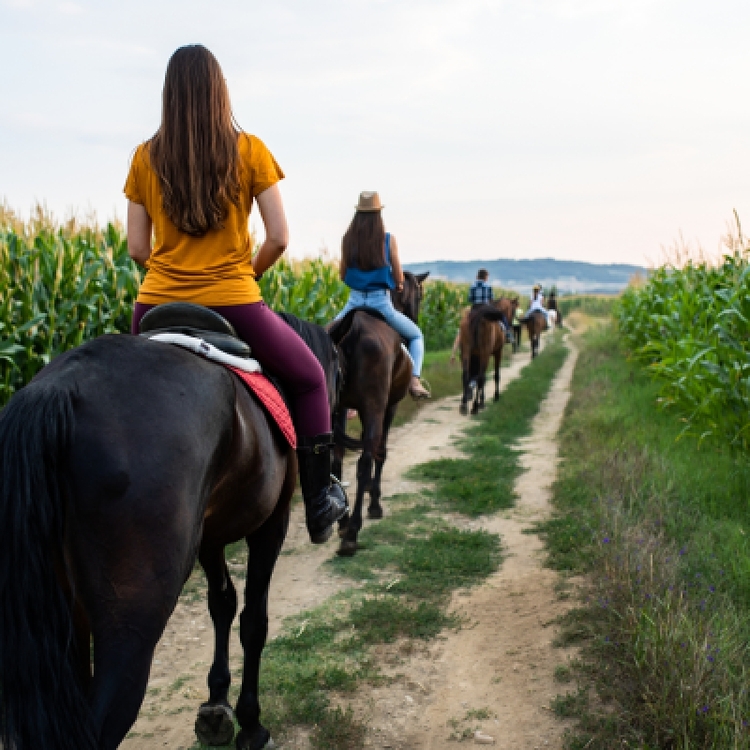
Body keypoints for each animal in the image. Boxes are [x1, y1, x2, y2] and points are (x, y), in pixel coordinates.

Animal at [0, 312, 338, 750]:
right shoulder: (271, 524)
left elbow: (222, 604)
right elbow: (254, 621)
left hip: (63, 618)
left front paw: (217, 704)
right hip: (132, 617)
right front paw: (250, 723)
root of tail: (60, 389)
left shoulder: (210, 536)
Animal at [330, 274, 428, 556]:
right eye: (420, 295)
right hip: (376, 406)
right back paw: (352, 532)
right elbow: (380, 452)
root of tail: (352, 330)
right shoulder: (386, 406)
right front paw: (374, 501)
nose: (415, 317)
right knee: (364, 461)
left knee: (336, 458)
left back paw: (343, 522)